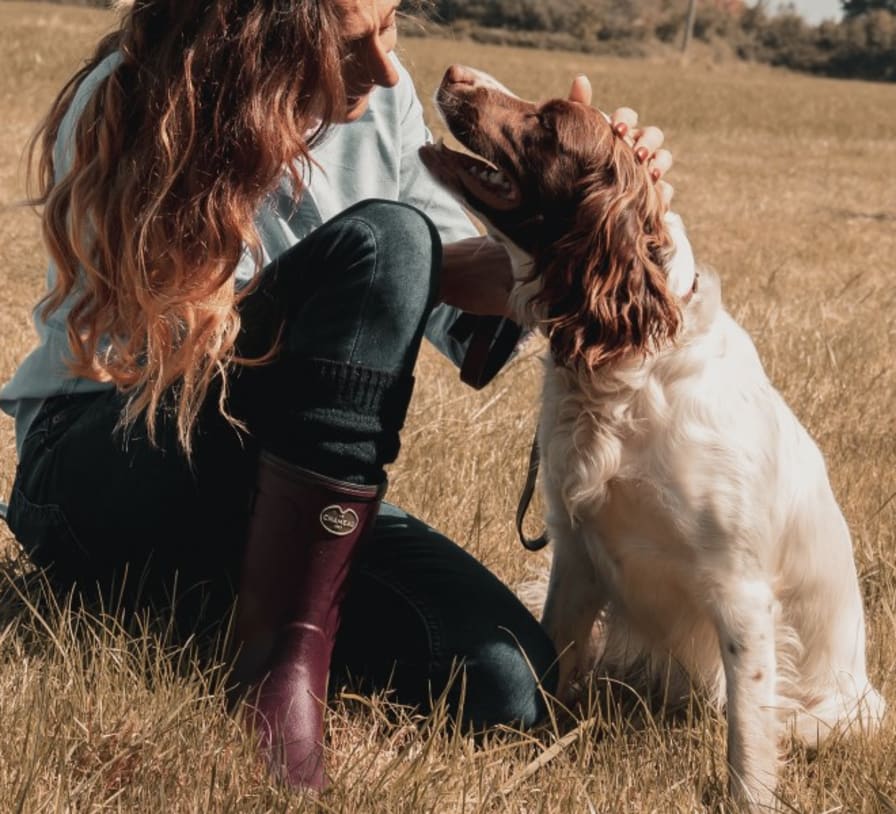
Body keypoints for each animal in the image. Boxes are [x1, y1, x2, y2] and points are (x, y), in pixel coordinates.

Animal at [420, 67, 880, 812]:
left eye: (549, 122)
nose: (456, 73)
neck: (629, 364)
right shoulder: (576, 554)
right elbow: (551, 664)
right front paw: (533, 756)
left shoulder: (740, 592)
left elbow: (748, 734)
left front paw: (747, 797)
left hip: (836, 713)